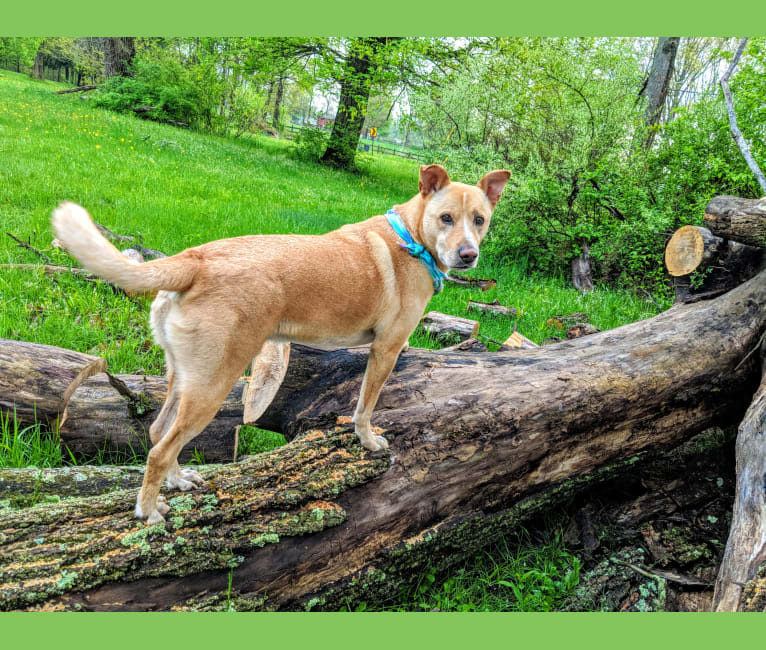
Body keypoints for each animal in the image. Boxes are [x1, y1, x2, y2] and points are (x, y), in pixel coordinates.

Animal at [52, 165, 510, 524]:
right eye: (446, 217)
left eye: (480, 219)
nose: (468, 256)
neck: (411, 236)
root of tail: (194, 259)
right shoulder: (387, 349)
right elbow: (365, 407)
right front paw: (367, 441)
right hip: (212, 386)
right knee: (160, 450)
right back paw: (148, 511)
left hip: (184, 379)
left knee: (157, 431)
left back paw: (179, 480)